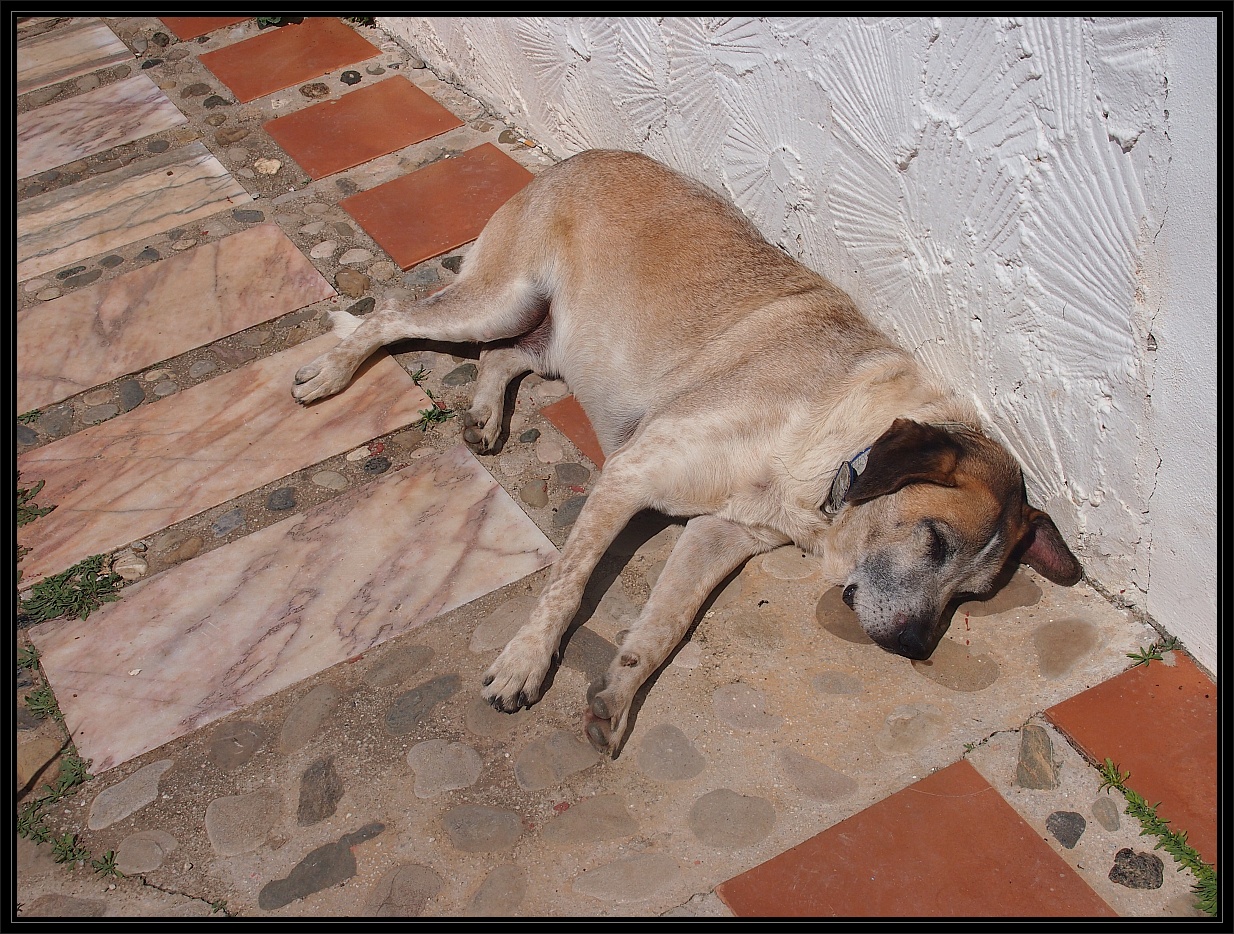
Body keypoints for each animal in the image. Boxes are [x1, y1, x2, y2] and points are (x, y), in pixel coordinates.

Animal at [291, 149, 1080, 755]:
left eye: (972, 594)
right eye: (934, 539)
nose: (916, 646)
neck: (829, 449)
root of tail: (581, 157)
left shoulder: (719, 534)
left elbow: (664, 625)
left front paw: (616, 695)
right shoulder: (631, 474)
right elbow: (567, 583)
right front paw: (524, 664)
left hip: (547, 340)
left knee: (503, 356)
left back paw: (484, 415)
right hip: (497, 298)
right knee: (393, 319)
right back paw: (327, 376)